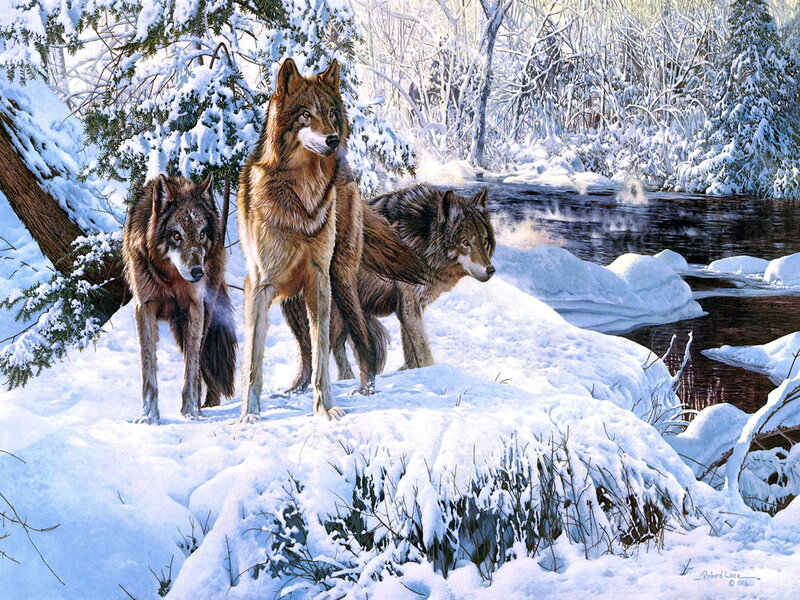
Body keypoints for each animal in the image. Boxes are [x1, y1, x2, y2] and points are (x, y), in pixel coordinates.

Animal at [122, 174, 237, 423]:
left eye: (202, 234)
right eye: (176, 236)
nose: (197, 272)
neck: (170, 279)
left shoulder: (194, 307)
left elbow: (191, 367)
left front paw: (190, 411)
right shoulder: (144, 308)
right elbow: (148, 367)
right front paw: (148, 416)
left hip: (202, 315)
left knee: (199, 358)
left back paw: (203, 406)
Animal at [237, 58, 426, 422]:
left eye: (330, 113)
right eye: (305, 115)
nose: (333, 140)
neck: (300, 198)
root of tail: (346, 173)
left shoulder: (319, 281)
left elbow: (323, 353)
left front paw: (326, 408)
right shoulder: (260, 285)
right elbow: (254, 357)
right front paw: (249, 414)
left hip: (340, 279)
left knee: (362, 340)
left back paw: (366, 388)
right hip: (291, 304)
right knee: (306, 352)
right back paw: (293, 390)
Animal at [283, 185, 495, 388]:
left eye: (484, 241)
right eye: (465, 243)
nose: (491, 270)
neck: (423, 239)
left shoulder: (413, 307)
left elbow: (411, 353)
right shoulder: (409, 305)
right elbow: (424, 353)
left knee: (337, 351)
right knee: (314, 358)